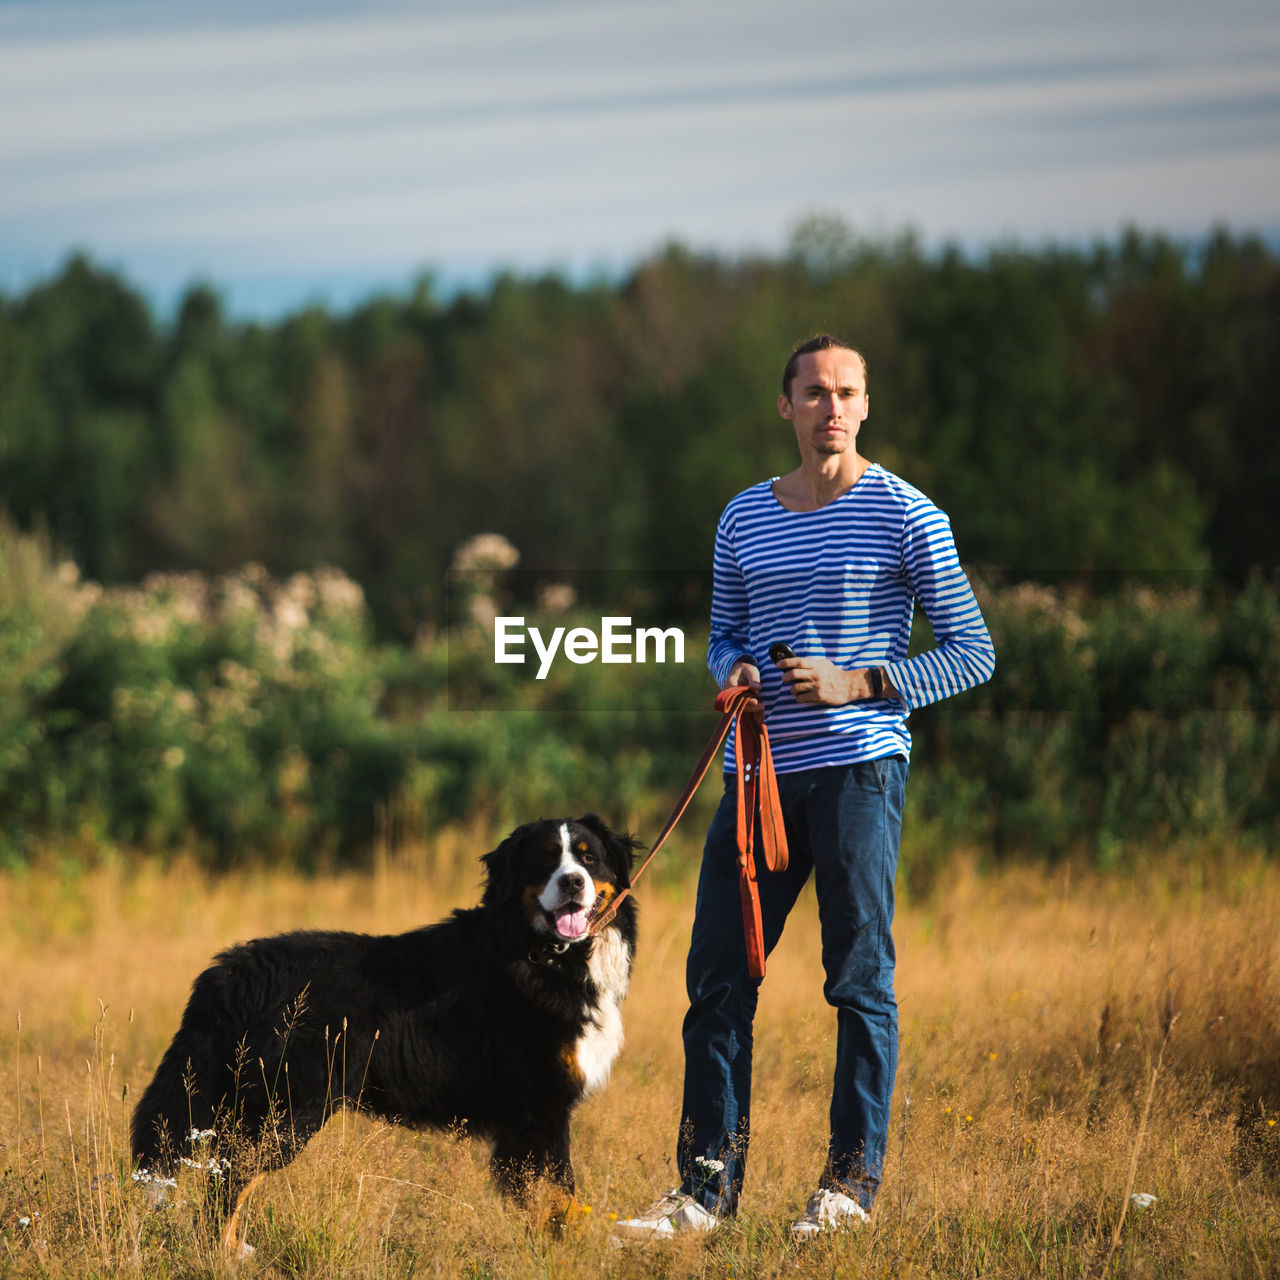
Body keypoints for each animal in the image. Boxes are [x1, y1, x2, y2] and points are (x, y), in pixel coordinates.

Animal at [129, 814, 640, 1244]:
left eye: (588, 857)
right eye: (545, 858)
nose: (573, 881)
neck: (546, 957)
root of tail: (234, 971)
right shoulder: (537, 1108)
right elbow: (558, 1200)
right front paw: (565, 1254)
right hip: (285, 1111)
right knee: (230, 1182)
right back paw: (228, 1254)